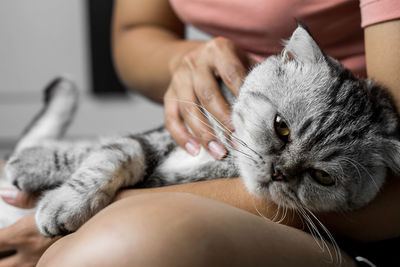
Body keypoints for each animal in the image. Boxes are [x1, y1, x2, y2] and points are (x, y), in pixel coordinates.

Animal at [3, 24, 400, 242]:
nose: (278, 173)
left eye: (323, 177)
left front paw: (57, 203)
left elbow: (112, 154)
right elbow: (107, 153)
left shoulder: (157, 177)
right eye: (282, 127)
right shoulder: (167, 133)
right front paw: (41, 173)